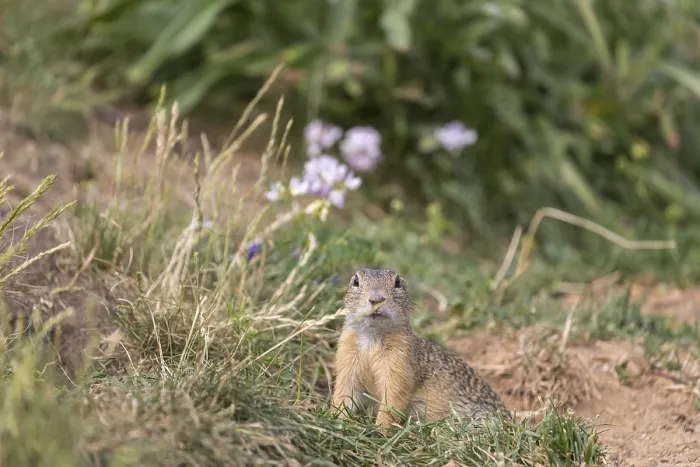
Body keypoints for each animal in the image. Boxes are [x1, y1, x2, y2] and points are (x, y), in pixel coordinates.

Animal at [331, 268, 511, 427]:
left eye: (397, 282)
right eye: (356, 281)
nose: (376, 299)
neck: (372, 337)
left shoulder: (400, 363)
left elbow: (393, 399)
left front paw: (380, 428)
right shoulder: (347, 360)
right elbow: (343, 393)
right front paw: (336, 417)